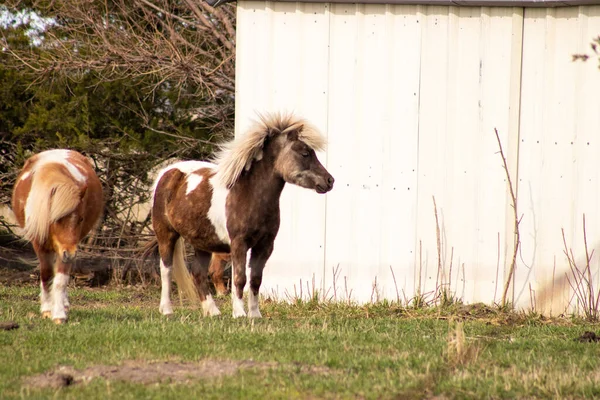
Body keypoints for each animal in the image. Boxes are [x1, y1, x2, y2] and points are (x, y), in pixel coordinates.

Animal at [11, 148, 104, 324]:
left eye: (81, 219)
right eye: (56, 219)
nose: (71, 253)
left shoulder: (65, 249)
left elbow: (61, 280)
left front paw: (59, 314)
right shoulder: (40, 244)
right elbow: (46, 275)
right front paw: (47, 310)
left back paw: (64, 305)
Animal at [152, 112, 336, 318]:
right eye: (305, 153)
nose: (329, 181)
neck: (249, 194)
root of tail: (167, 172)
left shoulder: (264, 245)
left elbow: (255, 279)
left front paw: (255, 315)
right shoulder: (239, 243)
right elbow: (240, 278)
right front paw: (239, 313)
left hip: (203, 242)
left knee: (198, 273)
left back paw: (213, 312)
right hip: (166, 234)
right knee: (166, 269)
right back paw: (167, 310)